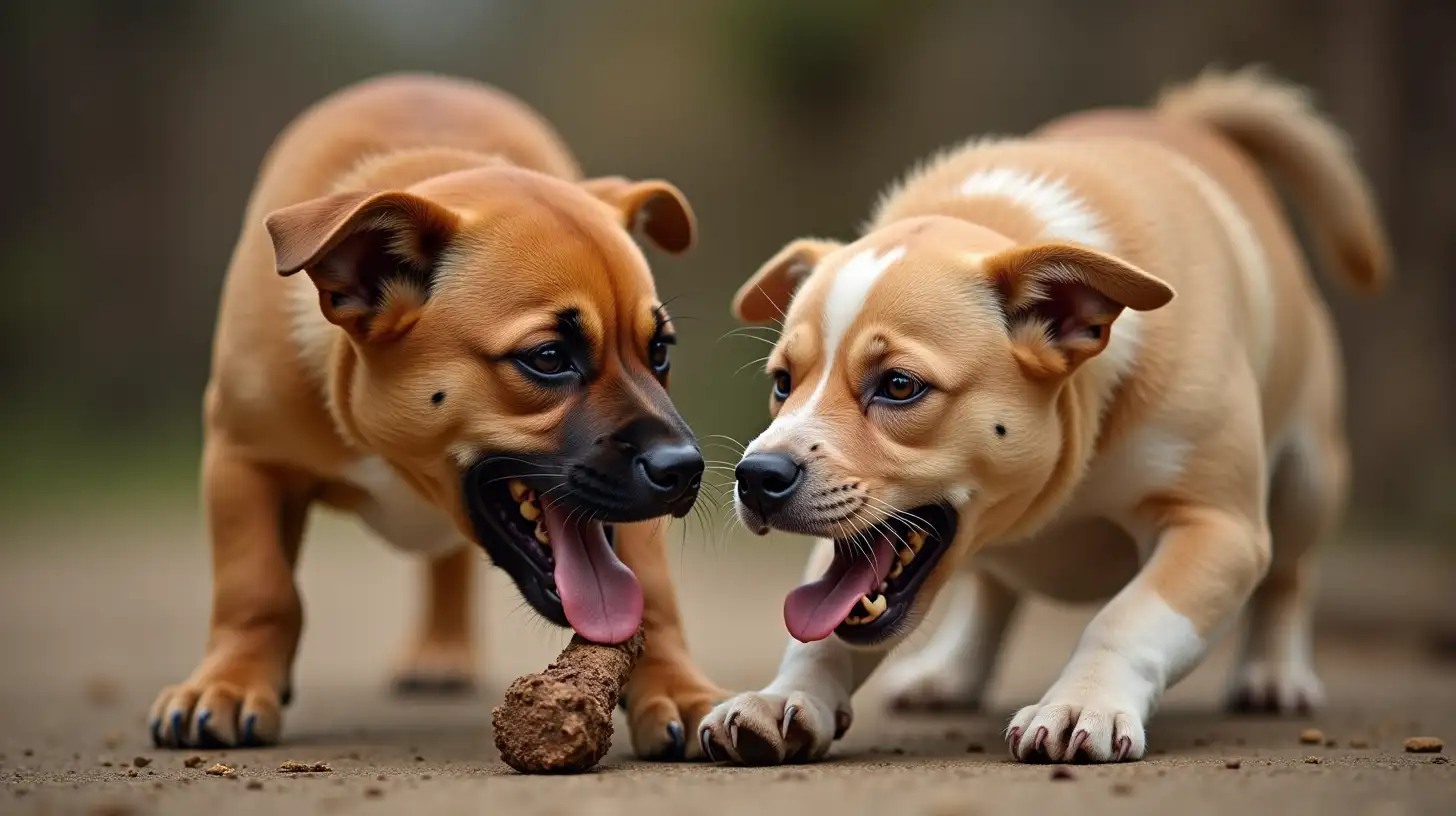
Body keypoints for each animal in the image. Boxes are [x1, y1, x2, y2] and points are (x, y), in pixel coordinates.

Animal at [150, 73, 725, 763]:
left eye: (659, 352)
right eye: (548, 358)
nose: (685, 469)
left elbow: (653, 597)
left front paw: (677, 689)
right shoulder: (243, 456)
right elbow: (257, 587)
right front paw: (230, 685)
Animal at [701, 69, 1386, 763]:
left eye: (898, 386)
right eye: (783, 383)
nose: (755, 476)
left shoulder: (1216, 524)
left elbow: (1126, 618)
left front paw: (1082, 703)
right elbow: (821, 631)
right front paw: (785, 697)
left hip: (1306, 481)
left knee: (1289, 576)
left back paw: (1274, 674)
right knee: (993, 587)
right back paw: (950, 671)